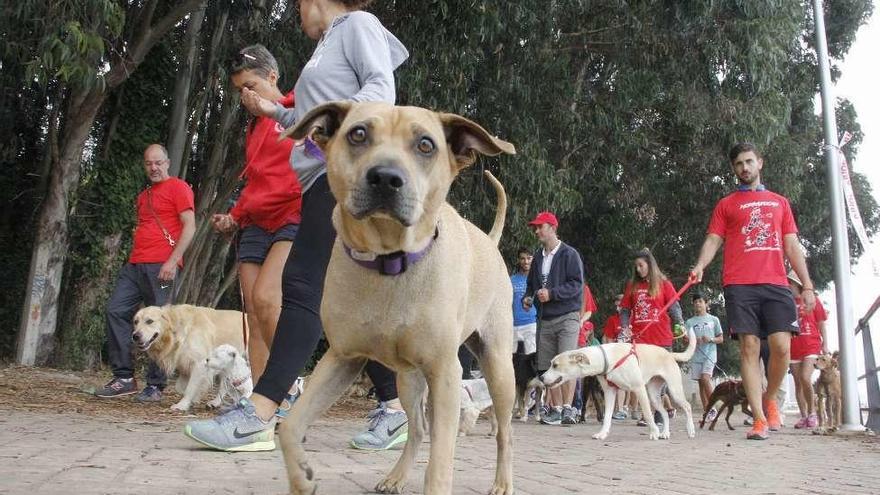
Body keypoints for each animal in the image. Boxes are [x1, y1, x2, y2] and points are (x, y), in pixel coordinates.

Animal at [276, 101, 516, 495]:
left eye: (425, 144)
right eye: (358, 134)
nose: (386, 177)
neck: (389, 263)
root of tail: (490, 242)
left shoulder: (446, 373)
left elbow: (440, 466)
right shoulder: (342, 358)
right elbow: (290, 427)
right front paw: (302, 476)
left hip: (497, 368)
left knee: (504, 433)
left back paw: (502, 482)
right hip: (408, 379)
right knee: (417, 429)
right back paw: (396, 476)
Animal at [544, 330, 696, 442]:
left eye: (555, 365)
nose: (541, 377)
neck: (607, 359)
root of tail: (669, 354)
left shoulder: (638, 389)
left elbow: (647, 414)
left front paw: (653, 432)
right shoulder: (609, 393)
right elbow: (606, 416)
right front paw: (602, 433)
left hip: (674, 391)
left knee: (688, 406)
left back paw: (690, 430)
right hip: (653, 395)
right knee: (664, 412)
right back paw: (665, 433)